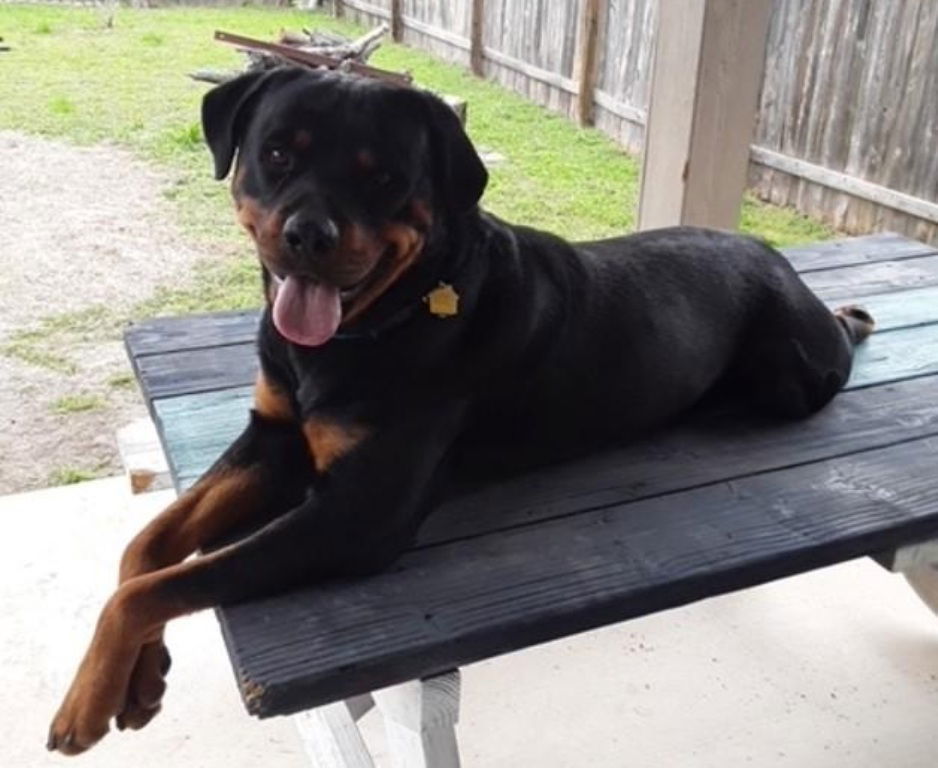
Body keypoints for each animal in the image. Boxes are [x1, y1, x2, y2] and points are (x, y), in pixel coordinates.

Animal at [45, 69, 872, 752]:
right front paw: (134, 679)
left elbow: (161, 583)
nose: (308, 234)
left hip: (791, 370)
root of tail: (777, 256)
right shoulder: (273, 435)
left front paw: (83, 707)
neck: (378, 323)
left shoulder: (358, 514)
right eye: (276, 153)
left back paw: (848, 317)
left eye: (382, 176)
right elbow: (146, 550)